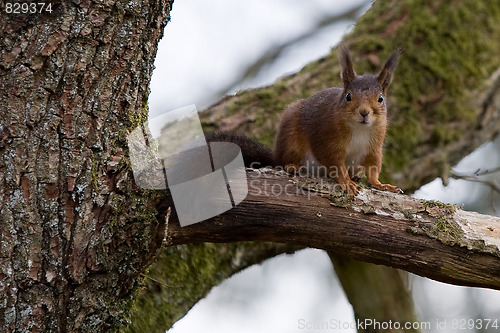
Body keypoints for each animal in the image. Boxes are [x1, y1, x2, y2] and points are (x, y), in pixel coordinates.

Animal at [207, 45, 402, 196]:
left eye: (380, 98)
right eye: (348, 96)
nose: (364, 112)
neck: (359, 129)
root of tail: (276, 153)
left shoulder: (374, 148)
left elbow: (373, 168)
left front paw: (381, 185)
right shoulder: (328, 140)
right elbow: (335, 163)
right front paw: (346, 181)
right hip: (291, 140)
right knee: (283, 160)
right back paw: (292, 166)